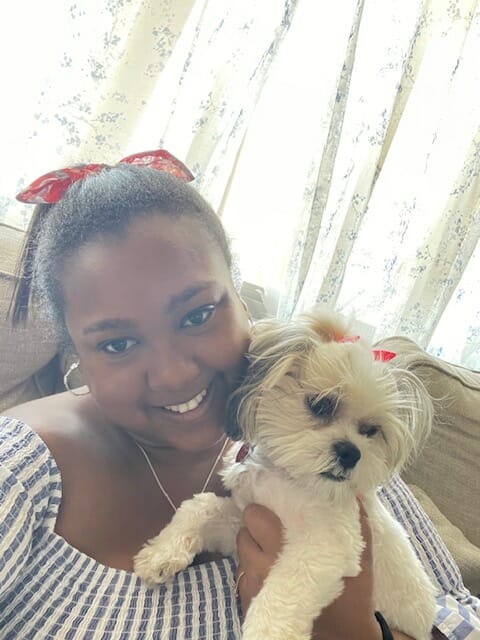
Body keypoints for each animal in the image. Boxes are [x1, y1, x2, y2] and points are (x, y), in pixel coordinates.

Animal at [135, 312, 438, 640]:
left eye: (371, 430)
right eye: (321, 404)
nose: (350, 452)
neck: (289, 477)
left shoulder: (325, 544)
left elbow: (284, 592)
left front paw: (266, 630)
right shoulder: (243, 519)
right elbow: (200, 506)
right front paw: (163, 553)